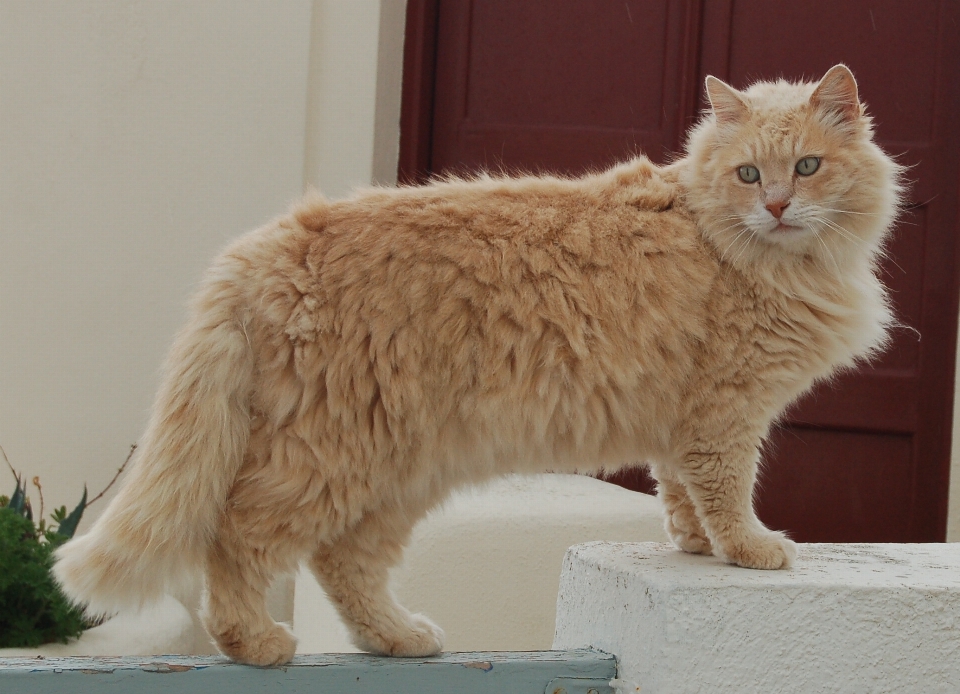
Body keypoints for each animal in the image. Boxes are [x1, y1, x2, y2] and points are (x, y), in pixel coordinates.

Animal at [56, 66, 904, 668]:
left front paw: (695, 546)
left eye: (807, 166)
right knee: (237, 537)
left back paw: (397, 636)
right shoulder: (727, 411)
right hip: (334, 456)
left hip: (398, 471)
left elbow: (681, 495)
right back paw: (256, 642)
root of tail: (266, 242)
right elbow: (728, 491)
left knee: (341, 563)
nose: (778, 208)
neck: (746, 252)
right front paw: (751, 550)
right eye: (750, 175)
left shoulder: (687, 420)